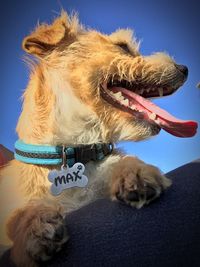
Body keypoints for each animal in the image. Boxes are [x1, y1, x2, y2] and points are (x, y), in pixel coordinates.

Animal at [0, 11, 197, 267]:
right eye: (122, 46)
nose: (184, 68)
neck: (76, 150)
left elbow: (123, 161)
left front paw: (134, 171)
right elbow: (19, 212)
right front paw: (32, 222)